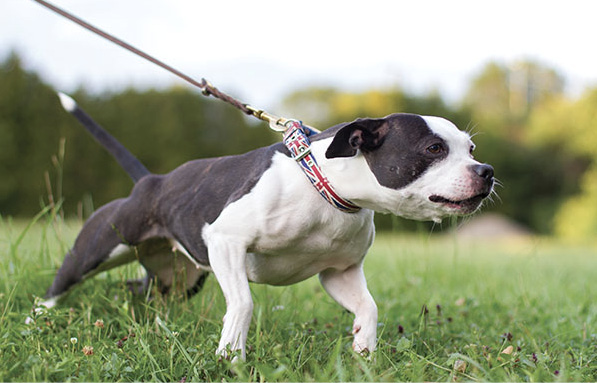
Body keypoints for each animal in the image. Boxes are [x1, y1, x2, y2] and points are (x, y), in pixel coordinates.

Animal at [39, 93, 492, 360]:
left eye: (471, 149)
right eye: (433, 149)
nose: (486, 171)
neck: (322, 184)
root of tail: (150, 181)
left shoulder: (340, 273)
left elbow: (370, 307)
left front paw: (364, 350)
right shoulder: (226, 242)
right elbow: (242, 303)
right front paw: (230, 357)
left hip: (177, 278)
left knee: (139, 288)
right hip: (98, 247)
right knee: (60, 283)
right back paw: (37, 320)